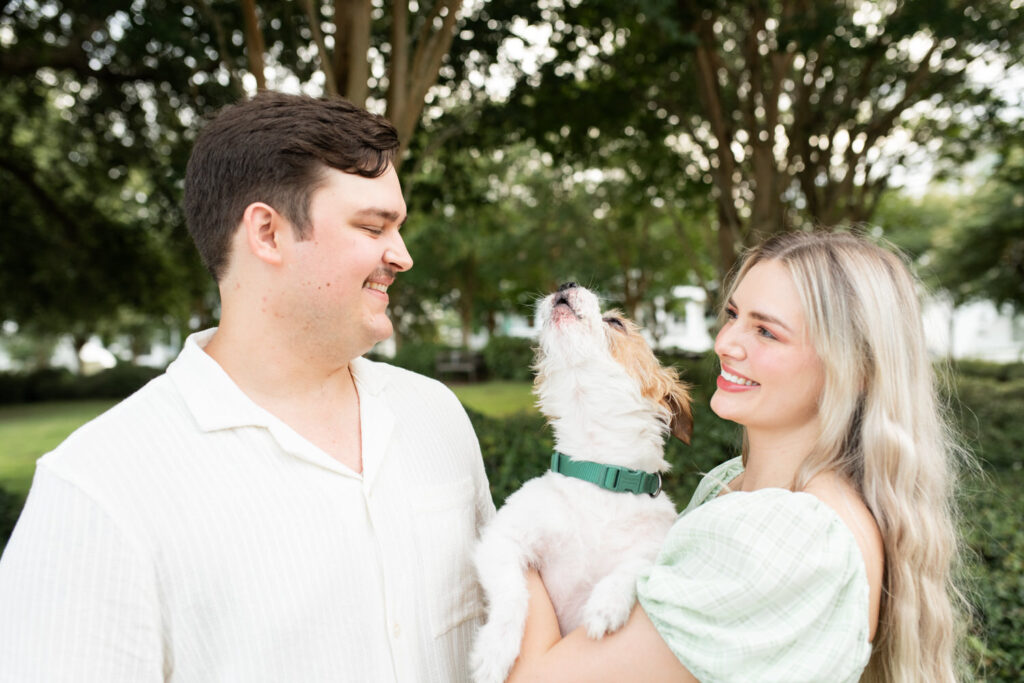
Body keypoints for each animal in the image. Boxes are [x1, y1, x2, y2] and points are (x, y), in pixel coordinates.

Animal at [468, 282, 692, 683]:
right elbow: (512, 593)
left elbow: (636, 565)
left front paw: (607, 602)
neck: (599, 471)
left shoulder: (655, 549)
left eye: (616, 322)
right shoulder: (500, 539)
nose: (565, 284)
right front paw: (495, 649)